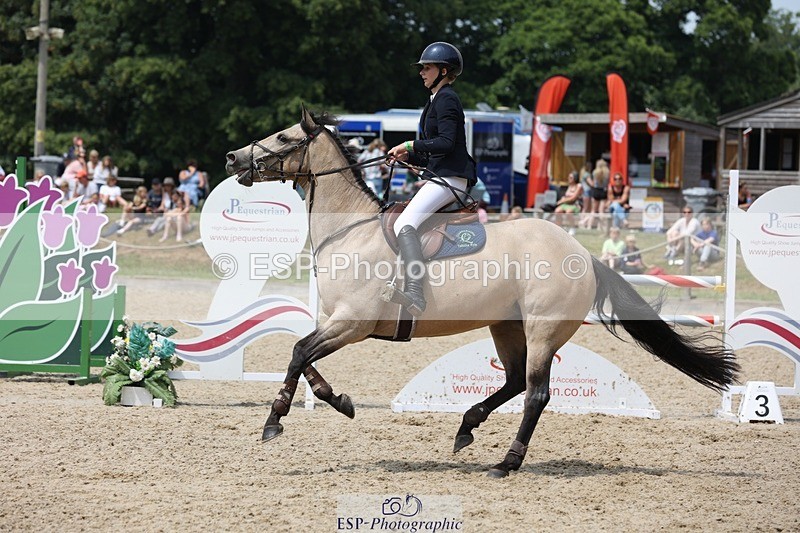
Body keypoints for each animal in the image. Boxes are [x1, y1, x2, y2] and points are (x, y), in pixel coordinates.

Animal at [224, 106, 739, 478]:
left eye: (285, 138)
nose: (232, 159)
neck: (351, 230)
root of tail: (580, 252)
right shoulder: (336, 322)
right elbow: (305, 358)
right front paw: (338, 400)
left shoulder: (352, 323)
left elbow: (297, 352)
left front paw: (274, 420)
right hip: (506, 326)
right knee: (513, 382)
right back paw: (467, 427)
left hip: (543, 329)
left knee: (535, 394)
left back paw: (506, 463)